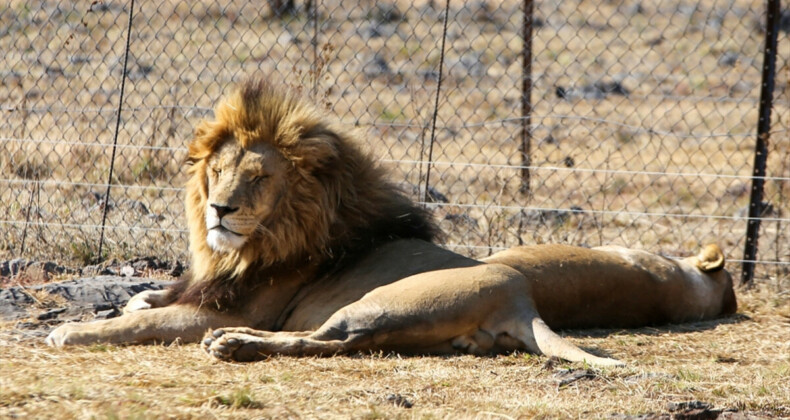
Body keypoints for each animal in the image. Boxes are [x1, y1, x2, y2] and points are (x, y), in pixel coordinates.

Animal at [46, 79, 740, 368]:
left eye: (260, 179)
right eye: (217, 172)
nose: (221, 209)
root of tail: (519, 297)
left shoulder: (223, 305)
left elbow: (145, 323)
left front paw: (72, 330)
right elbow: (147, 301)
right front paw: (131, 298)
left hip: (379, 301)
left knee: (321, 339)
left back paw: (235, 346)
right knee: (342, 344)